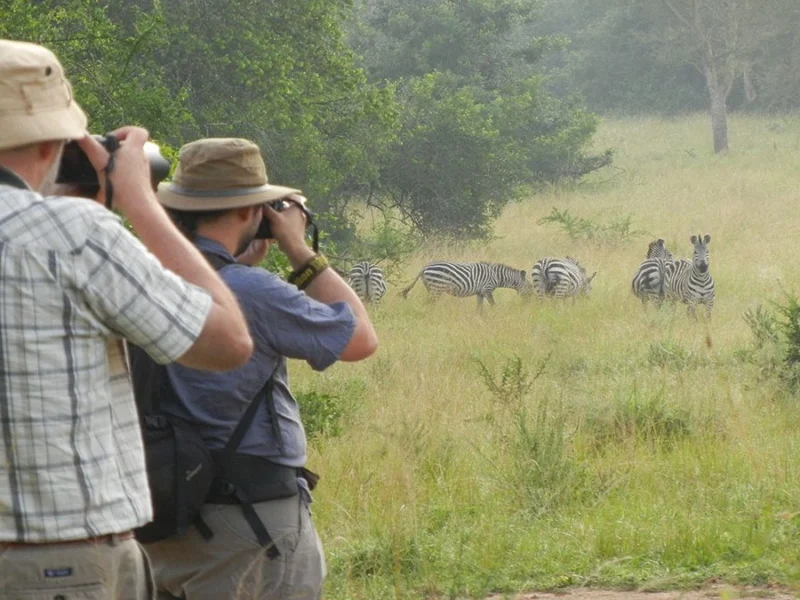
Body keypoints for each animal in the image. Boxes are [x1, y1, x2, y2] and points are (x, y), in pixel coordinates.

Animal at [400, 262, 532, 310]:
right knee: (429, 303)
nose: (529, 303)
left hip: (430, 288)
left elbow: (479, 308)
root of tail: (425, 267)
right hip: (436, 288)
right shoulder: (487, 290)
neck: (497, 276)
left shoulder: (480, 292)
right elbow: (493, 305)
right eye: (530, 287)